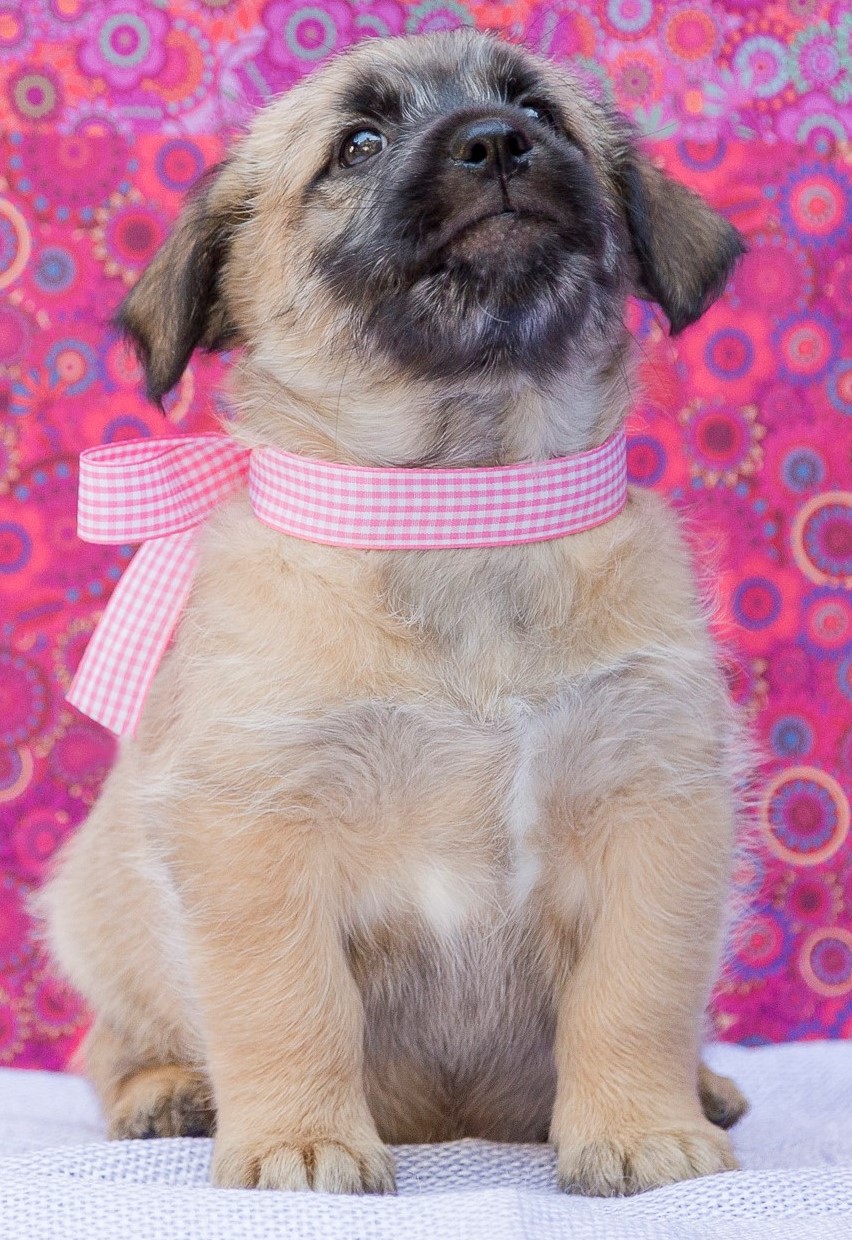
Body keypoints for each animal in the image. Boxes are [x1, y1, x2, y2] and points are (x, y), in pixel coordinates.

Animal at [39, 26, 749, 1190]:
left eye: (540, 110)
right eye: (359, 144)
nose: (496, 143)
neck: (462, 508)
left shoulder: (653, 805)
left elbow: (635, 995)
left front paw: (642, 1126)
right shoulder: (258, 831)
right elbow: (290, 1002)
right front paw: (301, 1137)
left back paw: (708, 1084)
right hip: (98, 918)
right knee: (112, 1042)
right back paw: (170, 1092)